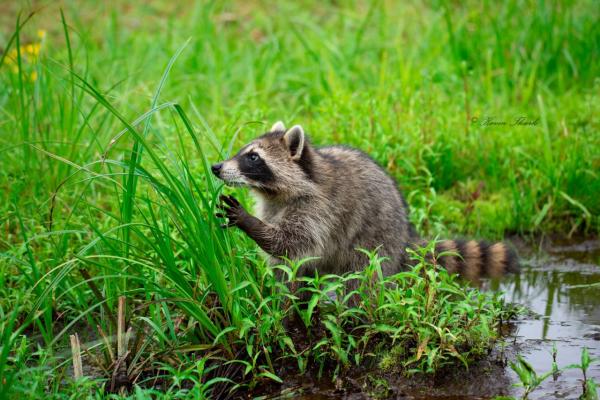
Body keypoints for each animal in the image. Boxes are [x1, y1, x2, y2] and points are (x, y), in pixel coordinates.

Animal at [213, 122, 516, 282]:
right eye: (244, 151)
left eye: (253, 157)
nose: (216, 167)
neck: (273, 192)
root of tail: (405, 236)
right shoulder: (274, 205)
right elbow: (285, 262)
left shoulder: (318, 209)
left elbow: (290, 243)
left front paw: (249, 222)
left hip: (376, 243)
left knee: (361, 285)